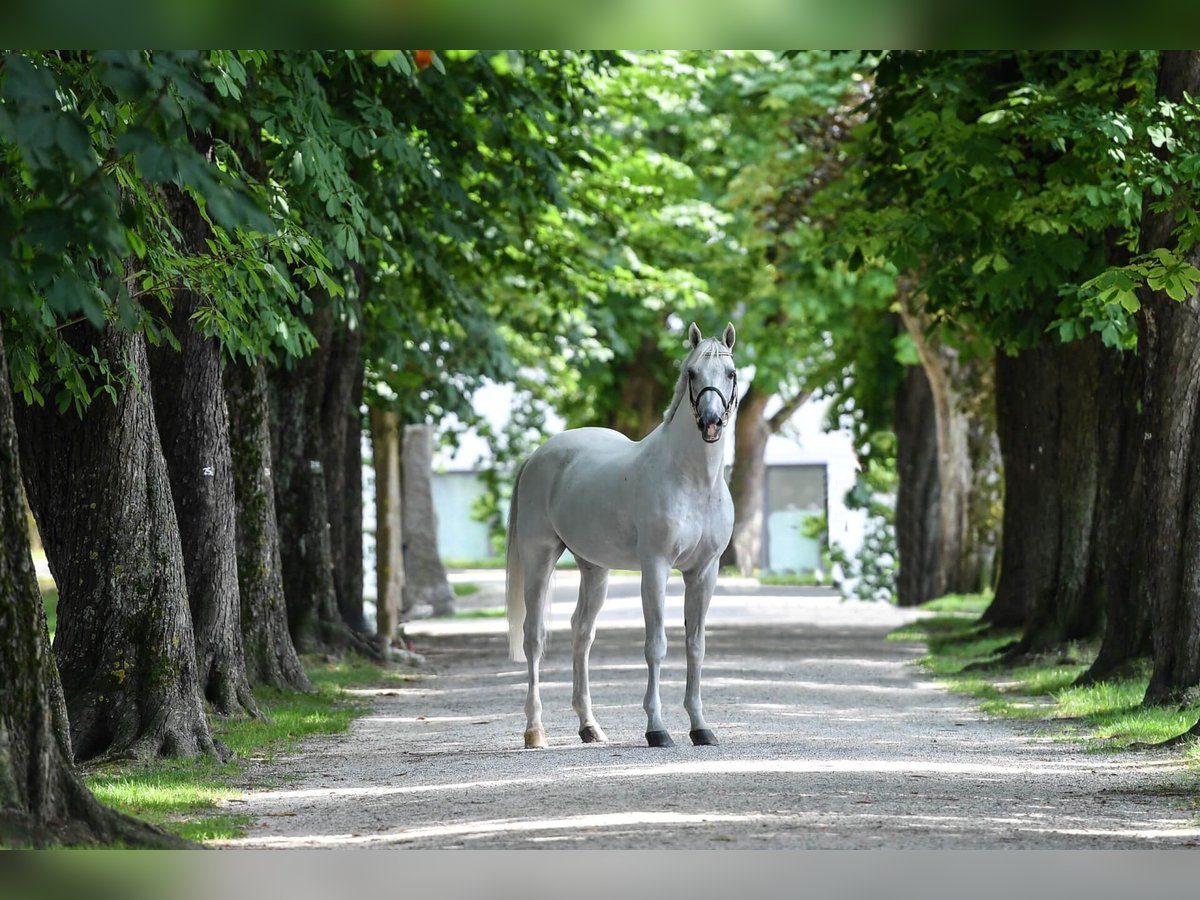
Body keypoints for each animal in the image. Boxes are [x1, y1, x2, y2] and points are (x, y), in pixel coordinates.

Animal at [504, 321, 734, 748]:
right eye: (692, 373)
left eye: (730, 373)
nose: (710, 422)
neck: (693, 480)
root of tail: (538, 455)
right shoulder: (656, 567)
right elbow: (656, 646)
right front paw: (657, 729)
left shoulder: (704, 572)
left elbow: (695, 646)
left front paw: (700, 726)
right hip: (539, 557)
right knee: (534, 637)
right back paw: (535, 730)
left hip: (595, 569)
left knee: (582, 633)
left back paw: (589, 726)